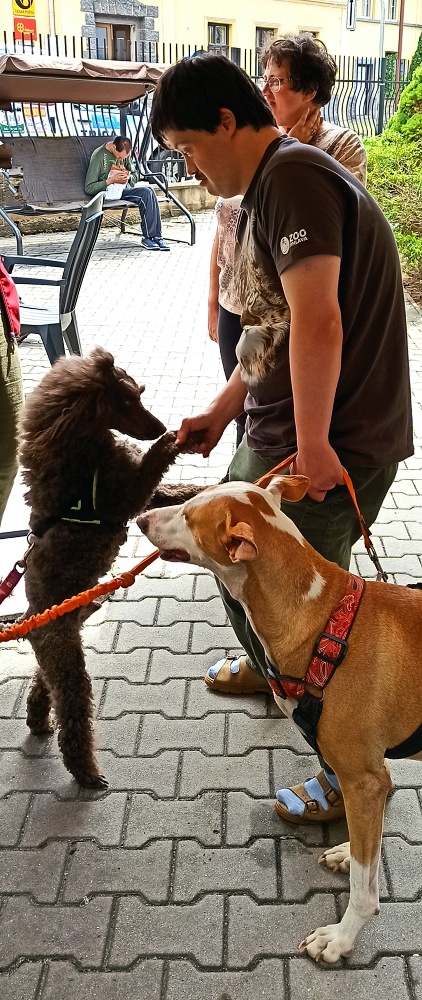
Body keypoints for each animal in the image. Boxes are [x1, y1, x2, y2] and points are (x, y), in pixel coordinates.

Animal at [17, 347, 198, 789]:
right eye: (126, 402)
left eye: (139, 395)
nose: (159, 425)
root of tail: (30, 619)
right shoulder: (124, 495)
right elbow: (155, 467)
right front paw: (174, 439)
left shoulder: (136, 490)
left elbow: (173, 491)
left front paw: (205, 488)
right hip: (67, 659)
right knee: (73, 712)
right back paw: (86, 772)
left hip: (58, 648)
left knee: (42, 683)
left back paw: (36, 719)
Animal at [138, 476, 422, 963]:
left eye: (189, 516)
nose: (140, 519)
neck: (323, 617)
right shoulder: (369, 776)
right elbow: (365, 851)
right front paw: (348, 851)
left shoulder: (364, 778)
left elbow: (364, 891)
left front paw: (341, 937)